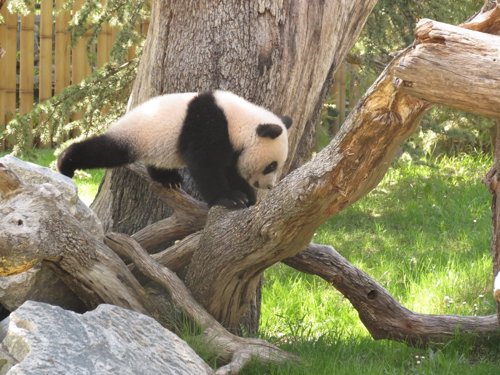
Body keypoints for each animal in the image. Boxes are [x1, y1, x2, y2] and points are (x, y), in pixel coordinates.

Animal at [57, 90, 292, 210]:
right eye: (271, 165)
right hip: (134, 136)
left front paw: (247, 195)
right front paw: (230, 198)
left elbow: (229, 169)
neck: (238, 121)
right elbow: (206, 166)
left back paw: (168, 179)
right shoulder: (208, 126)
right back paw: (66, 163)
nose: (269, 186)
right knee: (105, 151)